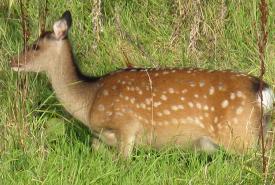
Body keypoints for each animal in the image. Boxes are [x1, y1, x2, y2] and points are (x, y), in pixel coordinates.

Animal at [9, 10, 274, 158]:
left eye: (35, 46)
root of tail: (263, 90)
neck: (90, 99)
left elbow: (123, 163)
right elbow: (96, 149)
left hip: (239, 135)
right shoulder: (104, 137)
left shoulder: (127, 125)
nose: (12, 61)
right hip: (257, 132)